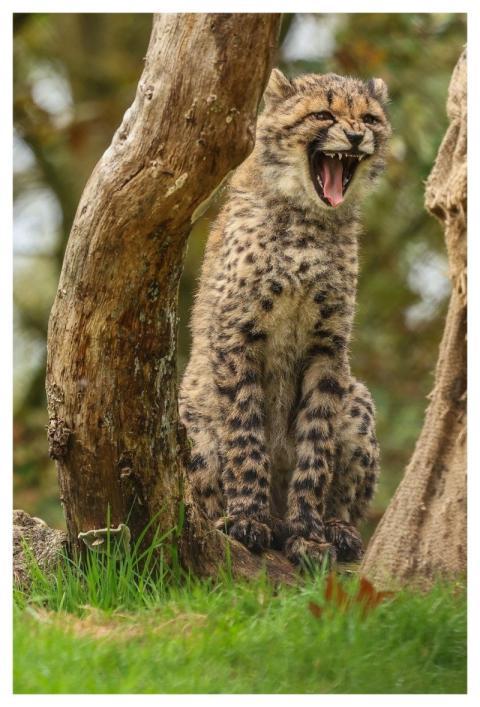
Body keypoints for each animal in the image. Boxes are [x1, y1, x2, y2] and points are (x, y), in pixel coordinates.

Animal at [179, 69, 391, 566]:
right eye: (323, 115)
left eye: (370, 118)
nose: (357, 136)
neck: (308, 221)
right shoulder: (237, 336)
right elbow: (245, 433)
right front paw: (248, 519)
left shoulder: (328, 349)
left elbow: (316, 450)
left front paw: (309, 534)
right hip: (190, 420)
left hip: (358, 401)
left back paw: (338, 530)